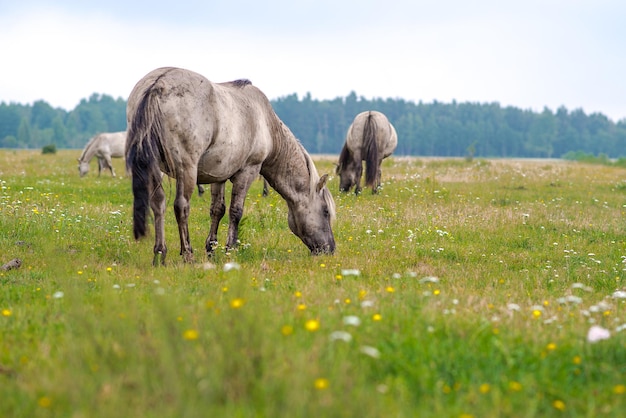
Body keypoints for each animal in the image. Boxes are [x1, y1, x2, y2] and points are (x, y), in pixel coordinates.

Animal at [123, 67, 334, 266]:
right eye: (325, 211)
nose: (330, 249)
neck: (266, 123)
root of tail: (158, 85)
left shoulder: (218, 175)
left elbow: (217, 210)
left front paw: (211, 249)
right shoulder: (248, 171)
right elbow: (236, 211)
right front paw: (229, 249)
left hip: (155, 168)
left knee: (158, 203)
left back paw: (160, 255)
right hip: (186, 169)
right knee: (181, 206)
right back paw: (188, 255)